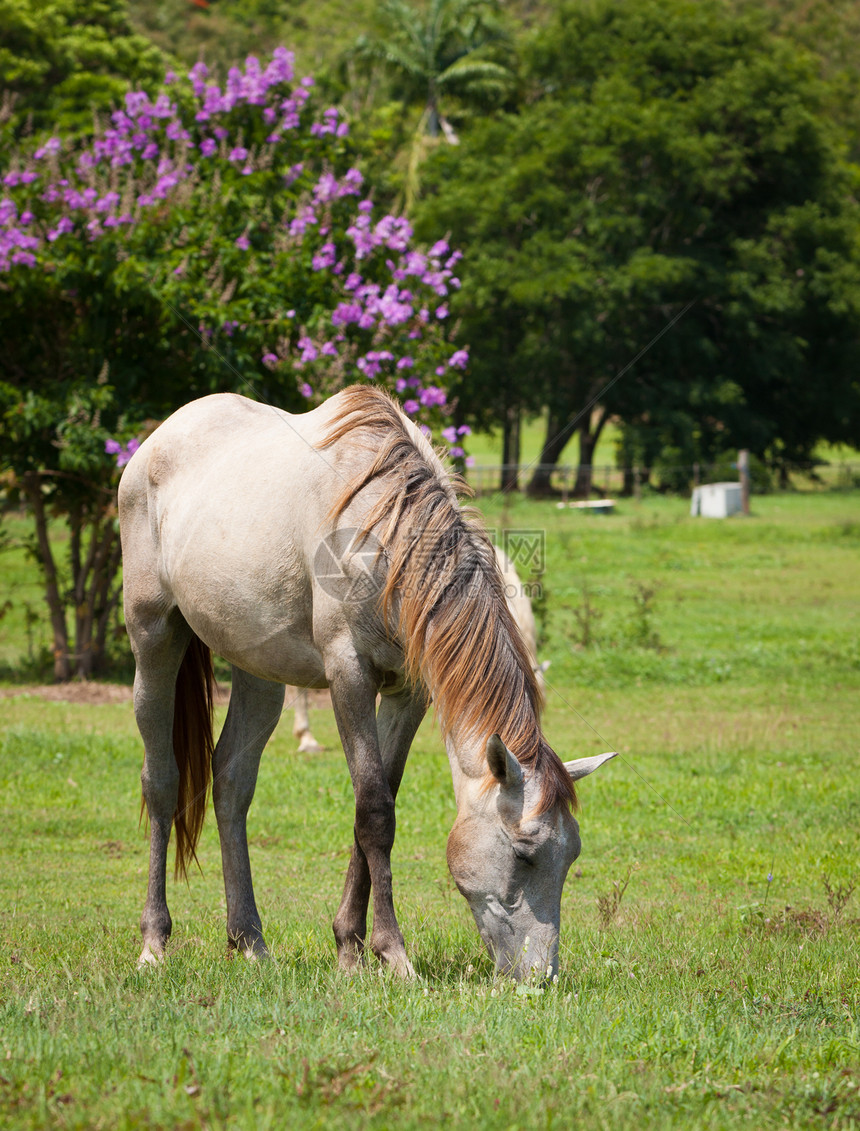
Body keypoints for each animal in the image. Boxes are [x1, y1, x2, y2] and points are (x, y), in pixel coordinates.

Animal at [119, 389, 620, 981]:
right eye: (524, 855)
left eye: (572, 855)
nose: (540, 977)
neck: (386, 529)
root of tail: (158, 438)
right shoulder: (349, 675)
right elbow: (376, 811)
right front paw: (392, 952)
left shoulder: (408, 691)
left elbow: (378, 799)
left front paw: (350, 946)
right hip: (153, 638)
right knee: (162, 781)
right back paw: (154, 942)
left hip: (258, 673)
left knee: (232, 784)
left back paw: (250, 941)